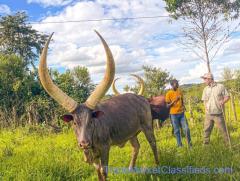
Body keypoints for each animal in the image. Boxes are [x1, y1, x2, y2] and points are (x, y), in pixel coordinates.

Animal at [39, 31, 159, 181]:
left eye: (91, 121)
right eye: (74, 123)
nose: (84, 143)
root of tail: (142, 98)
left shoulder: (105, 148)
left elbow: (104, 170)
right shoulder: (94, 155)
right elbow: (98, 171)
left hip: (148, 126)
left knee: (153, 144)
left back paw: (158, 167)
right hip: (131, 133)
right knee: (136, 146)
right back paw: (131, 169)